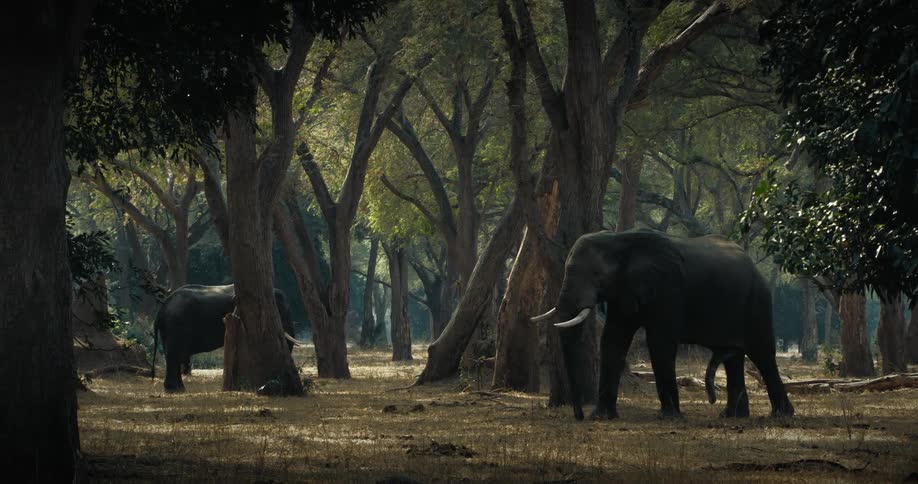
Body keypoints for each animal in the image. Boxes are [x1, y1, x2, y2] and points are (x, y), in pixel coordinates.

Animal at [152, 284, 305, 392]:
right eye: (280, 311)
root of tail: (162, 309)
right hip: (176, 324)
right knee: (174, 354)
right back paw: (176, 390)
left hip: (170, 327)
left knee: (173, 355)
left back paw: (176, 389)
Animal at [531, 228, 794, 421]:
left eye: (597, 275)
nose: (580, 416)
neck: (618, 240)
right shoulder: (623, 291)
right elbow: (613, 339)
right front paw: (602, 417)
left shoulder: (666, 287)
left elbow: (659, 341)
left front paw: (670, 417)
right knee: (734, 357)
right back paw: (732, 416)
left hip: (758, 300)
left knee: (762, 353)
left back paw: (780, 415)